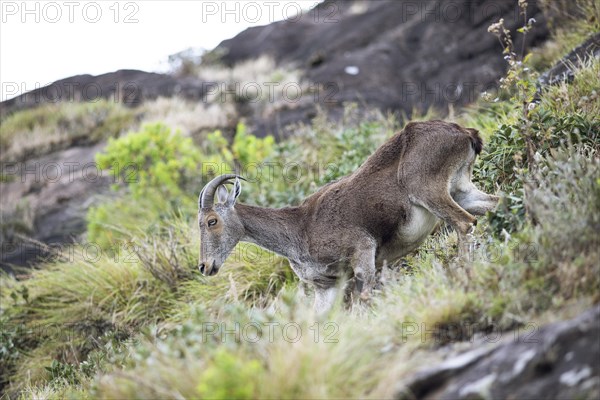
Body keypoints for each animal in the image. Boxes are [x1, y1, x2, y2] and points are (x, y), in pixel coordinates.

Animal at [197, 120, 496, 314]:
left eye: (212, 221)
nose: (204, 266)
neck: (298, 231)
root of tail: (465, 133)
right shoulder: (327, 286)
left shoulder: (362, 249)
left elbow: (364, 295)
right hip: (461, 189)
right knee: (492, 205)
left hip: (429, 190)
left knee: (464, 223)